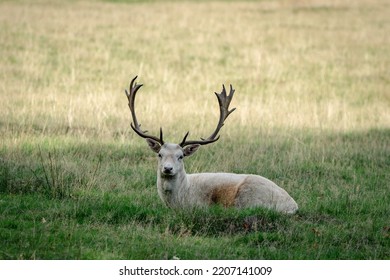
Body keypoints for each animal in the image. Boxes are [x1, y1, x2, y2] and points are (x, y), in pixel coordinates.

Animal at [125, 75, 298, 213]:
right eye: (160, 154)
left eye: (181, 156)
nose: (168, 169)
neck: (182, 198)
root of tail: (292, 206)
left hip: (248, 196)